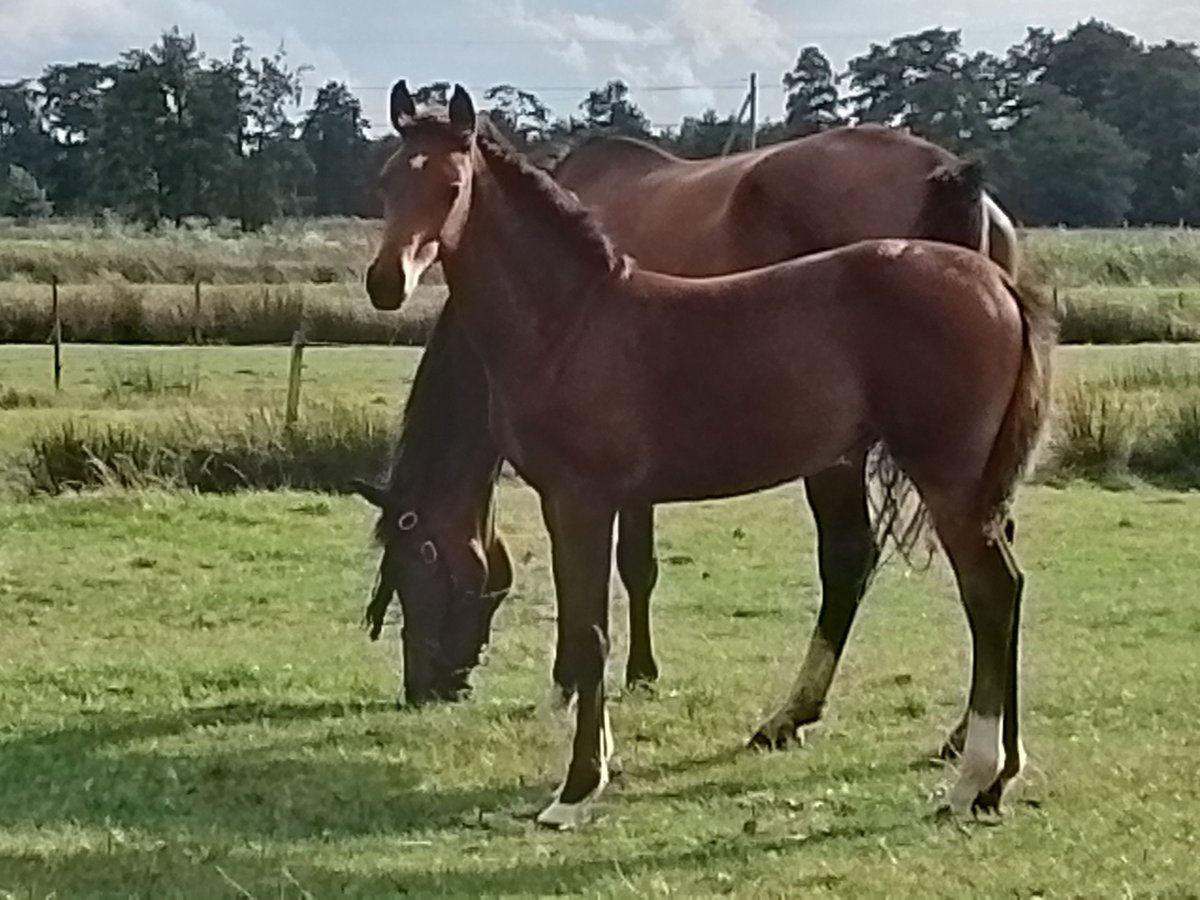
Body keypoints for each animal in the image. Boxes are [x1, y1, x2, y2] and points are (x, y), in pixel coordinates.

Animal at [362, 84, 1051, 830]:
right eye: (387, 180)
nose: (385, 283)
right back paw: (992, 768)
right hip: (971, 484)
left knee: (985, 591)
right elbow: (588, 621)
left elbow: (593, 631)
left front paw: (575, 789)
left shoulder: (582, 498)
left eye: (451, 186)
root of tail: (994, 282)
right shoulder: (588, 499)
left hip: (941, 478)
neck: (571, 320)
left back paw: (967, 775)